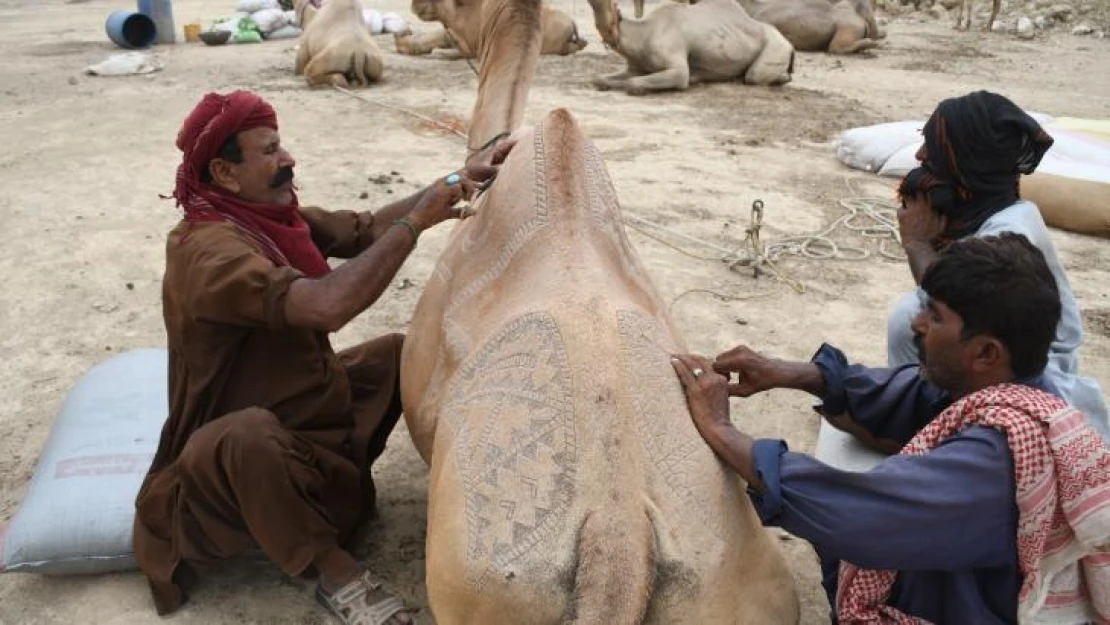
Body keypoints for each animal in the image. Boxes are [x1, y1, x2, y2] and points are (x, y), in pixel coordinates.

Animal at [586, 0, 794, 95]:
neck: (642, 33)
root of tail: (790, 45)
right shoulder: (636, 66)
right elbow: (599, 78)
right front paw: (607, 84)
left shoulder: (677, 66)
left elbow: (634, 83)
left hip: (776, 46)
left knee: (754, 76)